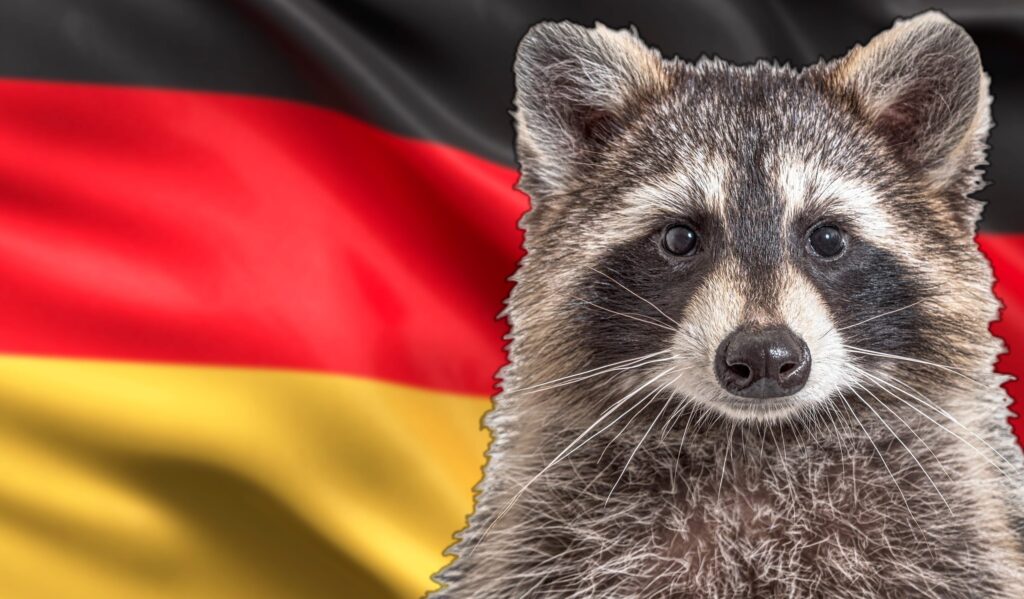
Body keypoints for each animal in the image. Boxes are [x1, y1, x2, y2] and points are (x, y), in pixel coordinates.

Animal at [434, 11, 1024, 598]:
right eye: (680, 238)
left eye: (827, 238)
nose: (764, 354)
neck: (757, 441)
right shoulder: (540, 537)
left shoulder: (956, 530)